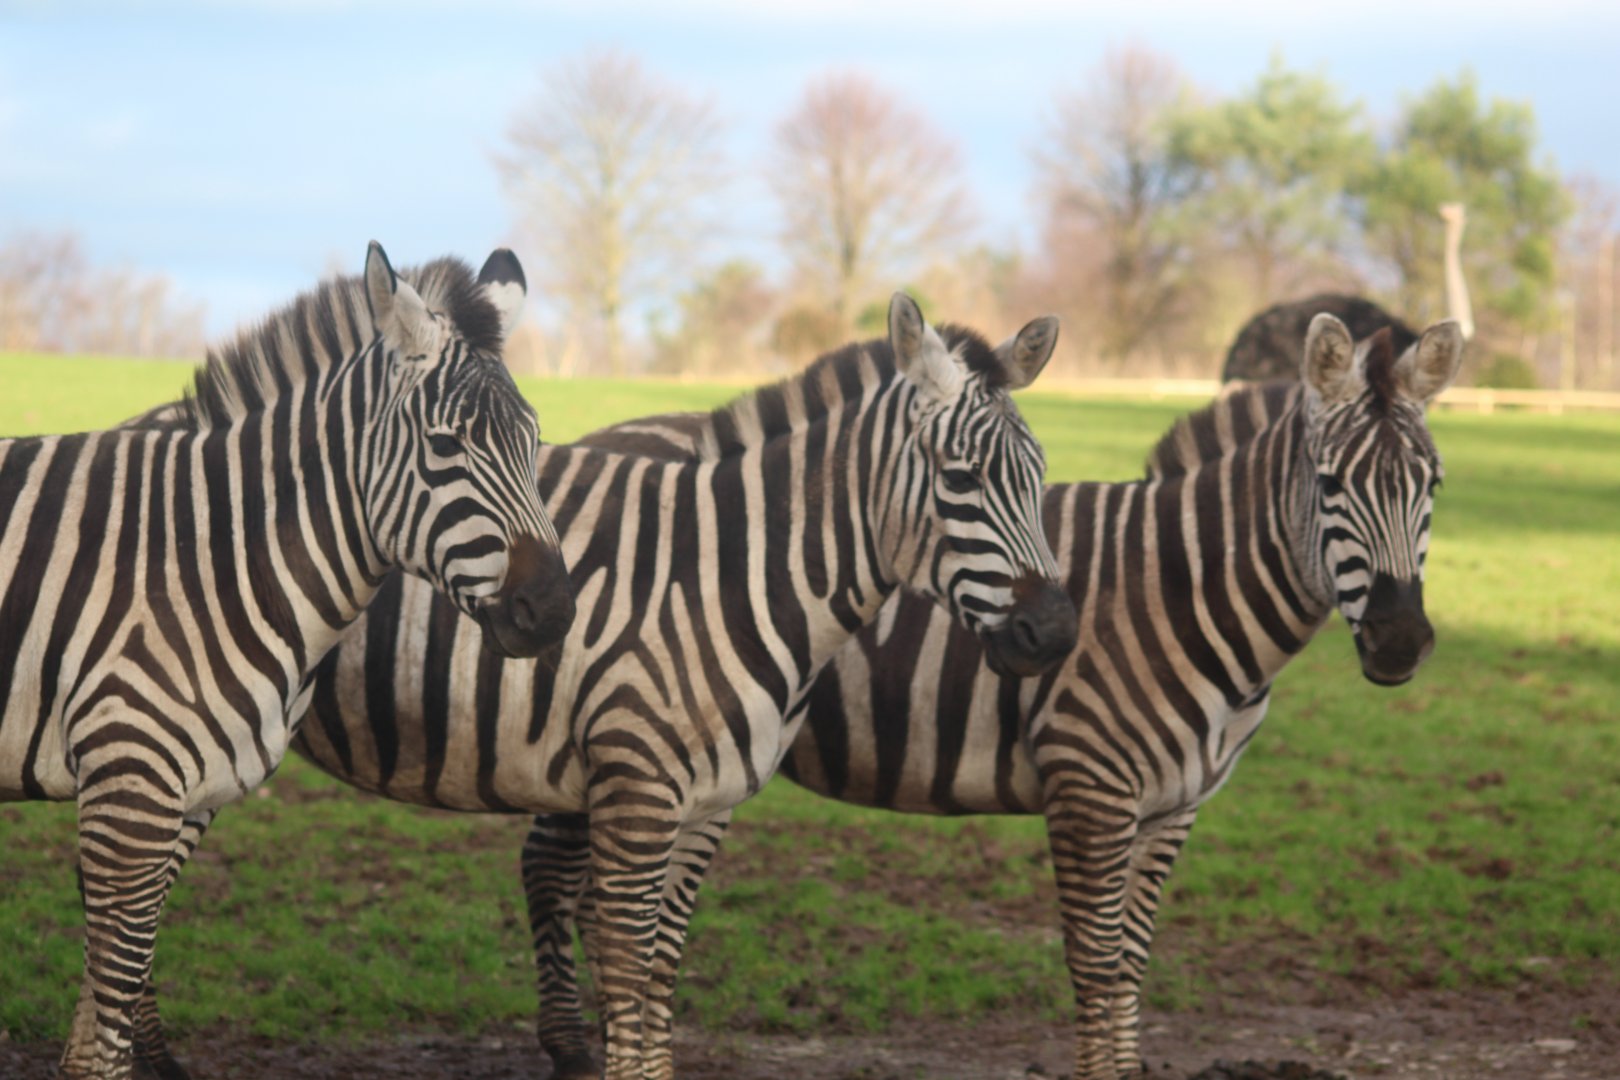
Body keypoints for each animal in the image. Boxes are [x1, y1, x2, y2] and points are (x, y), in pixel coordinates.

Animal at [0, 242, 576, 1080]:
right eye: (446, 446)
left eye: (534, 445)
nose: (555, 612)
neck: (209, 560)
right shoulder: (128, 789)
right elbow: (98, 1044)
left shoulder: (186, 797)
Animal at [522, 312, 1465, 1080]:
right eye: (1332, 486)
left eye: (1433, 487)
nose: (1399, 641)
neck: (1180, 591)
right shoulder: (1091, 788)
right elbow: (1097, 965)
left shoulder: (1175, 808)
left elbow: (1133, 963)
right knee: (551, 866)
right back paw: (570, 1046)